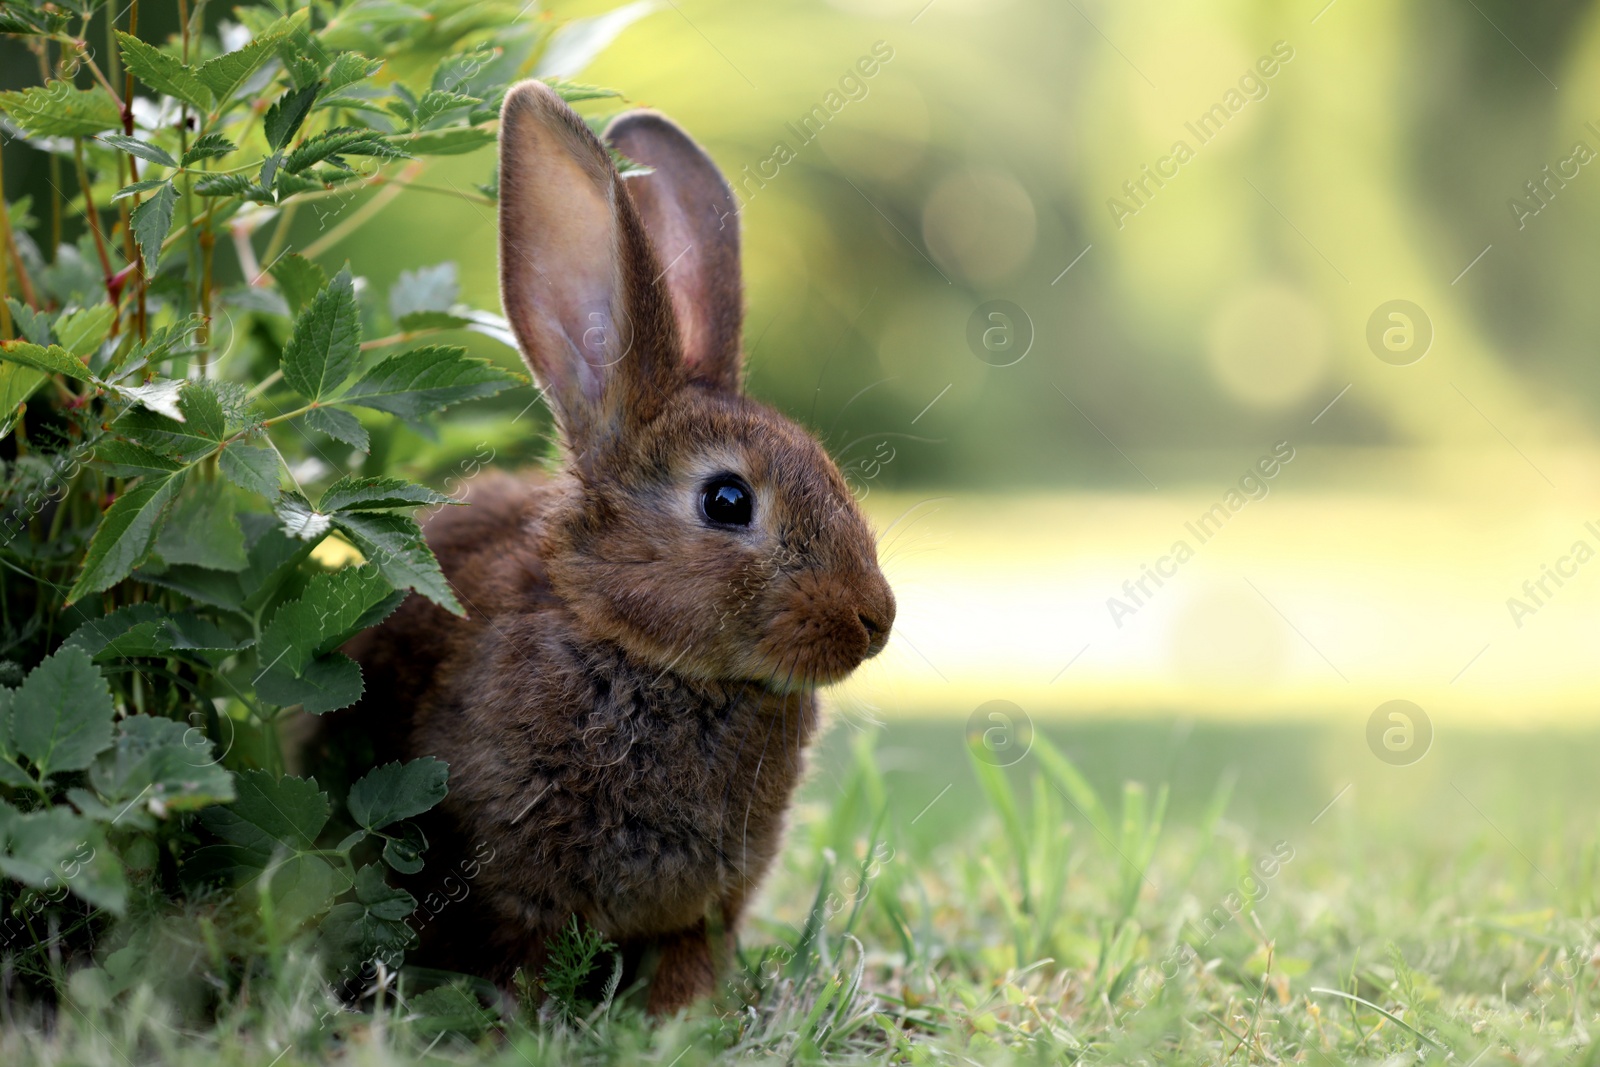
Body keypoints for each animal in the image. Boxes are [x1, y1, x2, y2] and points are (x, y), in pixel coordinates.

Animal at [342, 85, 896, 1017]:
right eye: (727, 500)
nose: (875, 619)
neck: (643, 648)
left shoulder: (712, 900)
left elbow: (692, 953)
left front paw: (679, 1016)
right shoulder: (506, 878)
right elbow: (519, 954)